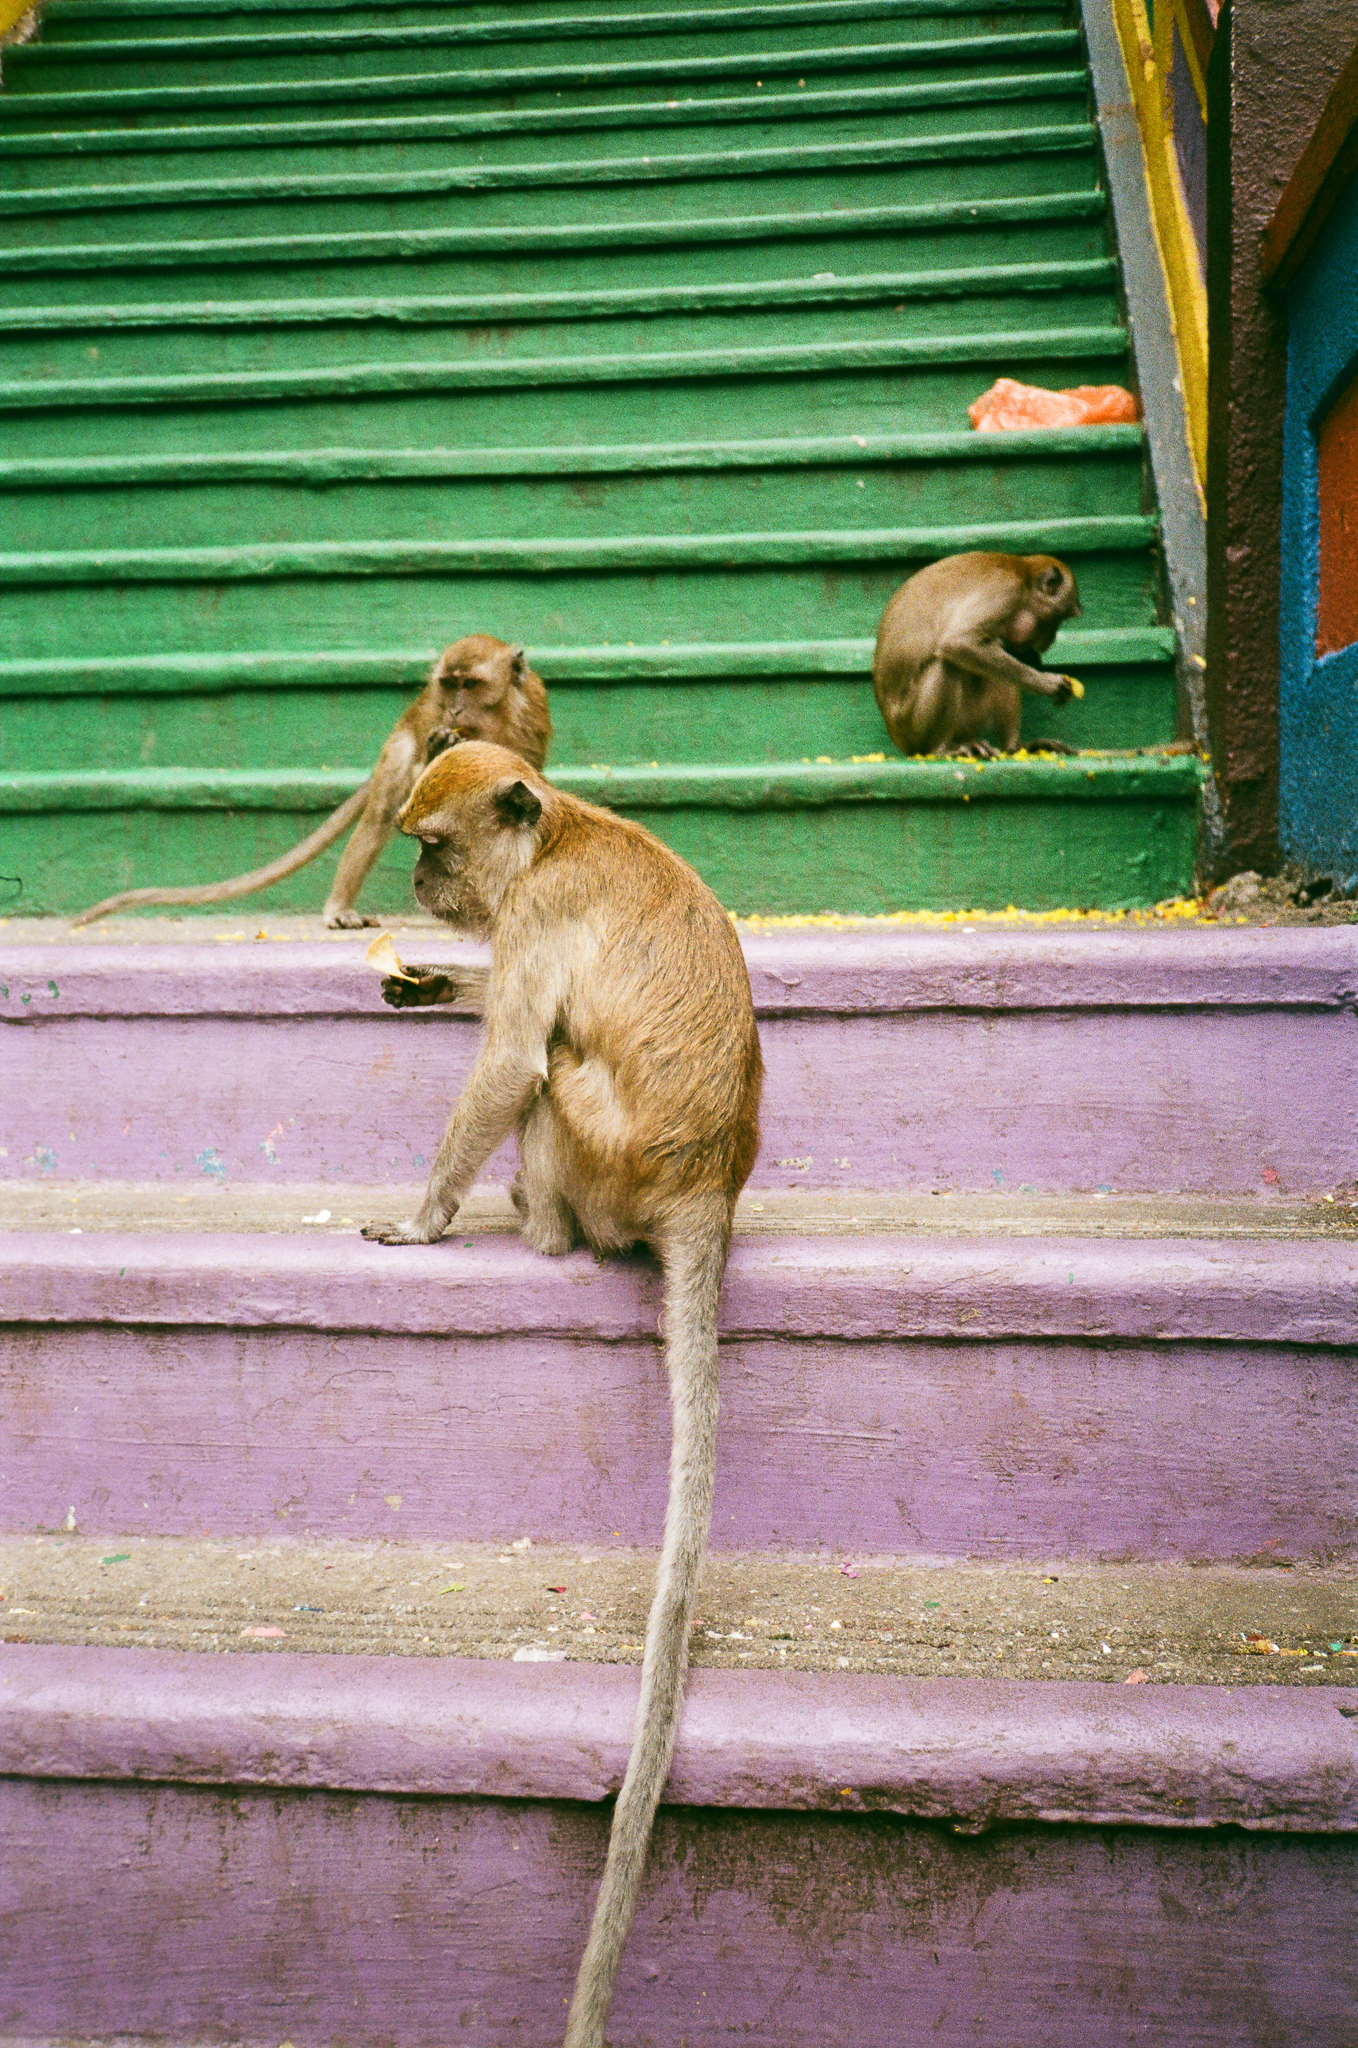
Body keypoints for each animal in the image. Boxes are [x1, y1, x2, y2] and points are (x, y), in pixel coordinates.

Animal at [70, 637, 552, 929]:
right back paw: (339, 907)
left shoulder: (531, 716)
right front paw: (442, 753)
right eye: (450, 686)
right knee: (380, 816)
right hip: (400, 745)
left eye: (470, 684)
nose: (452, 709)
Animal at [360, 740, 763, 2048]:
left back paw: (530, 1224)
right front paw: (426, 979)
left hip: (601, 1154)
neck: (559, 833)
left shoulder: (538, 914)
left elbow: (505, 1062)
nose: (421, 887)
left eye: (433, 844)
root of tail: (706, 1185)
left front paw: (423, 1217)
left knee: (548, 1076)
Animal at [871, 552, 1085, 758]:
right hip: (913, 728)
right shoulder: (1006, 591)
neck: (1024, 574)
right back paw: (941, 748)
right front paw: (1045, 683)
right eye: (1059, 619)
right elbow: (958, 642)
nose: (1052, 639)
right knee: (948, 663)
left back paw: (1014, 747)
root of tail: (896, 736)